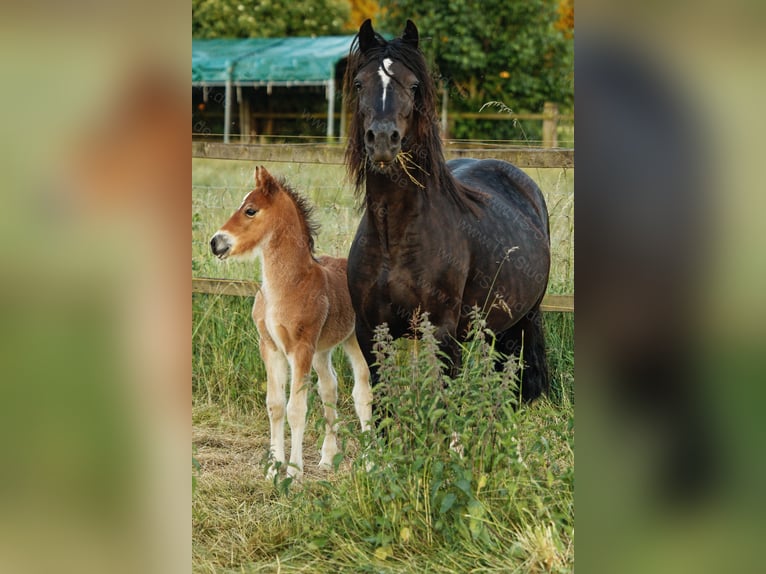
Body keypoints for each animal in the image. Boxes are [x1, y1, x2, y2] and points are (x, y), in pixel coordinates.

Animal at [210, 166, 372, 479]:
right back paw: (327, 459)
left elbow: (296, 408)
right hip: (325, 349)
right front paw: (273, 470)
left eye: (250, 210)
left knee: (363, 392)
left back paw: (373, 461)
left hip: (355, 342)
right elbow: (275, 406)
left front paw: (294, 473)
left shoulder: (301, 348)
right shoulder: (270, 346)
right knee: (330, 388)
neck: (288, 285)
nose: (216, 242)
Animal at [344, 19, 551, 402]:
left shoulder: (440, 331)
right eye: (359, 83)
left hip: (526, 315)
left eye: (413, 85)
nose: (382, 140)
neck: (395, 237)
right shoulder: (371, 331)